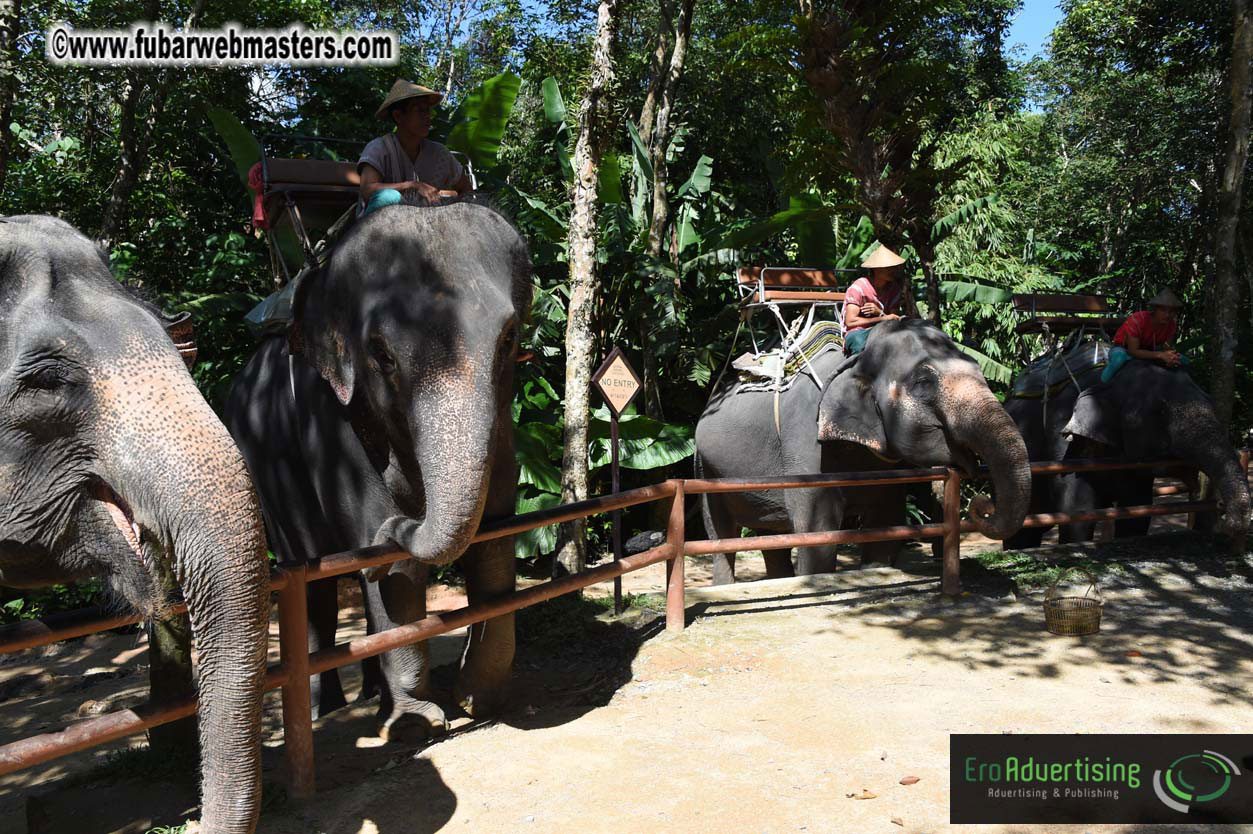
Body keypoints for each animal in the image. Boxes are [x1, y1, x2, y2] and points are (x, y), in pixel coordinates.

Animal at [225, 199, 530, 739]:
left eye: (509, 338)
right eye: (381, 354)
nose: (402, 522)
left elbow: (495, 532)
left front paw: (479, 698)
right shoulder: (327, 415)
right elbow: (389, 555)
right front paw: (416, 721)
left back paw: (371, 693)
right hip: (264, 474)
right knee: (315, 581)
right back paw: (327, 709)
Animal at [695, 318, 1032, 584]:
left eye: (978, 368)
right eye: (924, 383)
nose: (983, 502)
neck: (855, 361)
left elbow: (884, 526)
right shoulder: (805, 441)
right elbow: (817, 531)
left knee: (772, 536)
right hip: (705, 468)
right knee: (720, 536)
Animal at [1003, 349, 1250, 548]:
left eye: (1210, 401)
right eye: (1160, 411)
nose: (1225, 514)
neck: (1109, 380)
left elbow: (1137, 512)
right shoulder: (1063, 437)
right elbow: (1077, 512)